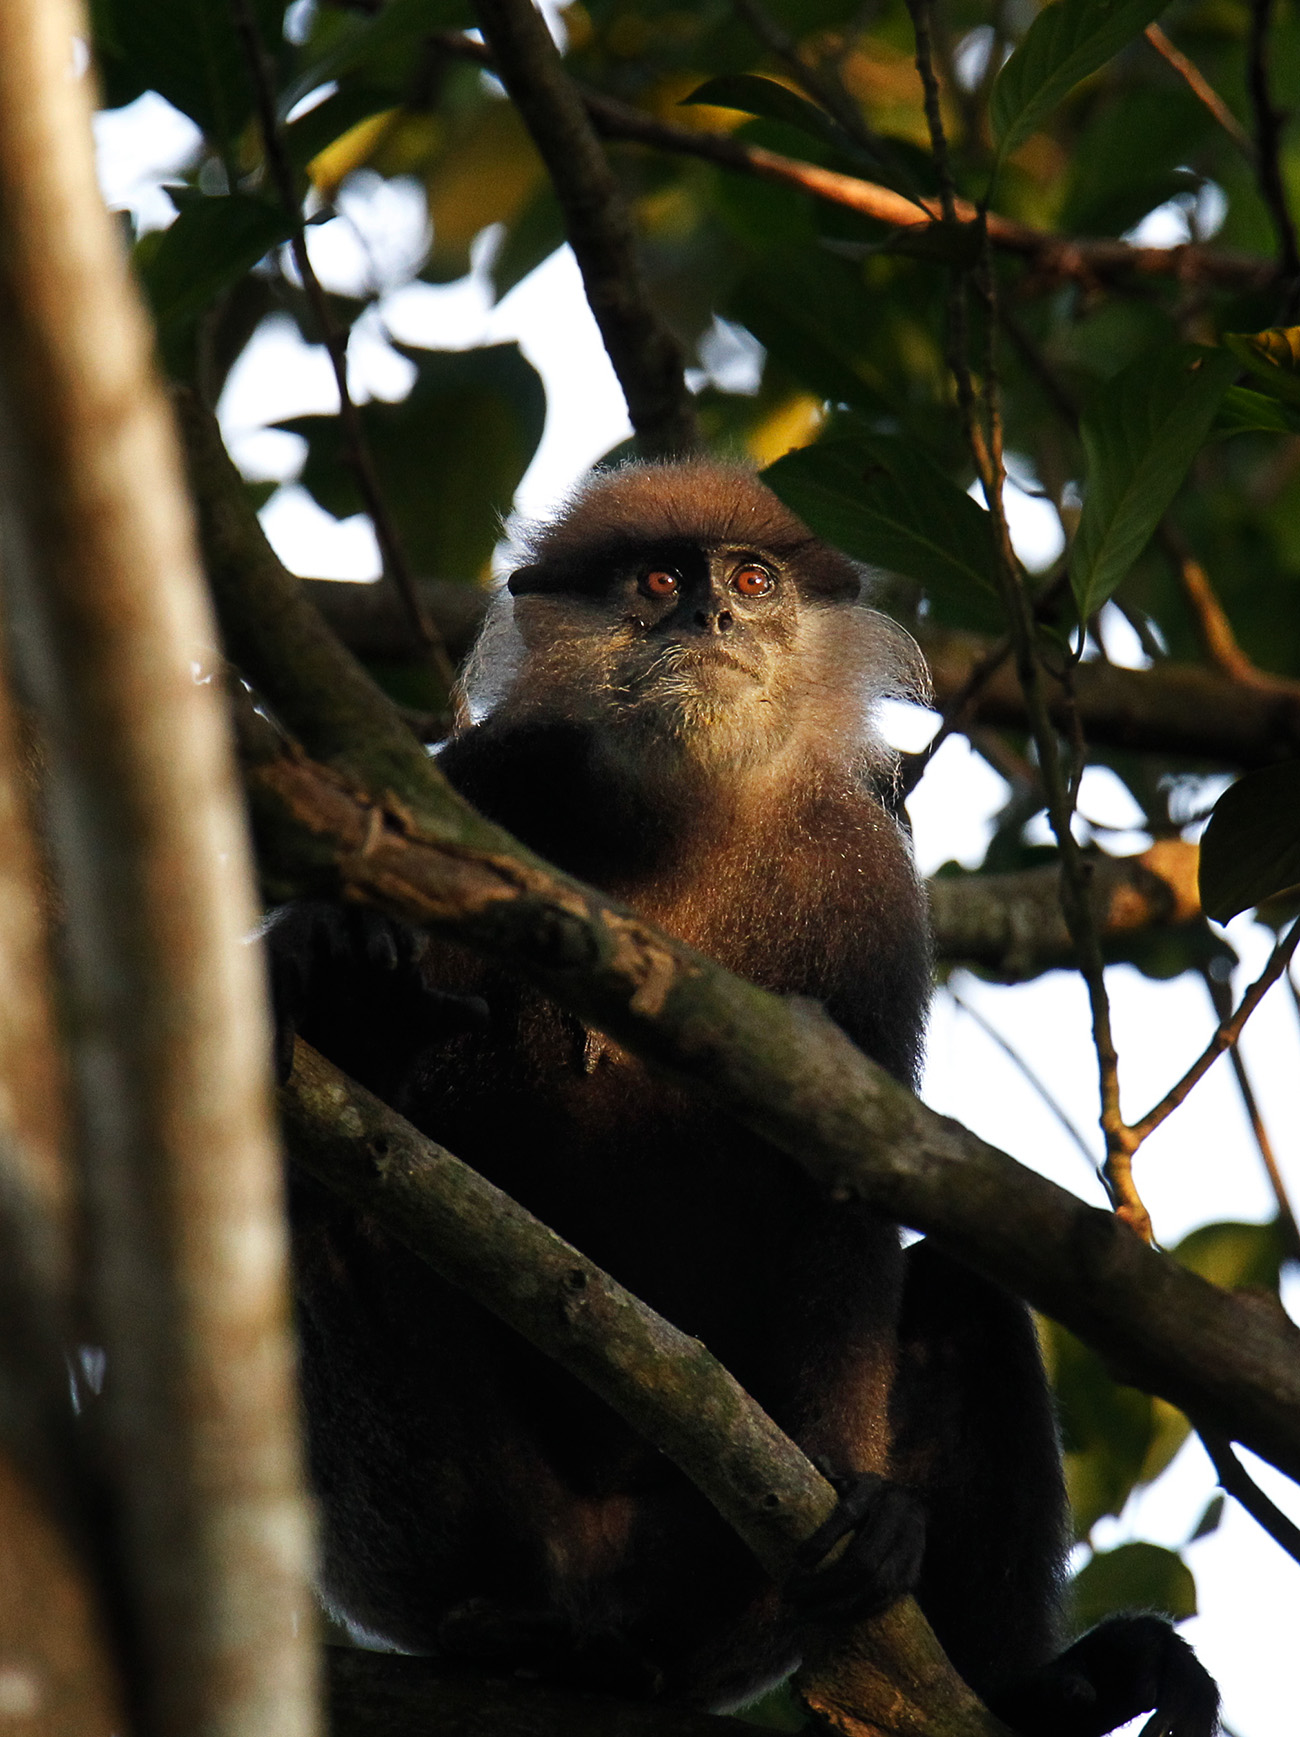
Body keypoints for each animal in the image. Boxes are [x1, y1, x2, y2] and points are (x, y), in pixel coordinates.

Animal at [265, 462, 1216, 1737]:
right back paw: (503, 1622)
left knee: (964, 1297)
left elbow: (847, 1182)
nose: (710, 617)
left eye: (753, 582)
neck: (687, 812)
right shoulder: (473, 789)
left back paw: (1037, 1693)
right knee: (322, 1199)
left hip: (722, 1600)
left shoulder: (863, 876)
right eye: (659, 582)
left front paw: (866, 1497)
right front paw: (338, 968)